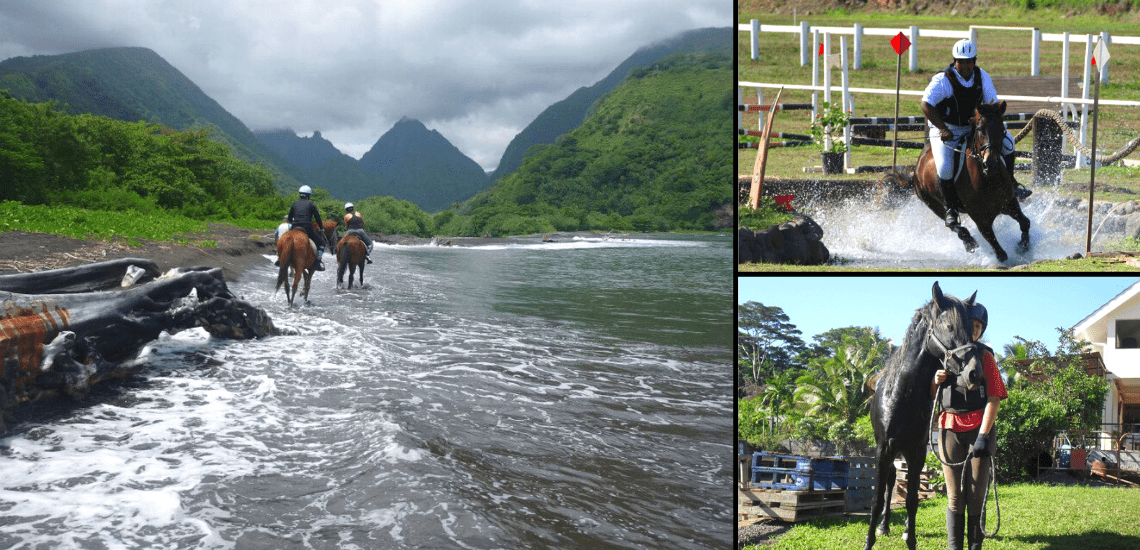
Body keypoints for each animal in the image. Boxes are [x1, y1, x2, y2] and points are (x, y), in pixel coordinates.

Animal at [857, 281, 984, 547]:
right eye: (949, 326)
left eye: (971, 329)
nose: (974, 373)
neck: (903, 396)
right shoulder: (883, 450)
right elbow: (876, 500)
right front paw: (869, 541)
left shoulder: (917, 452)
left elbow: (912, 500)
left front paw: (911, 539)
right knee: (890, 481)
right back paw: (884, 526)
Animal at [889, 101, 1035, 264]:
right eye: (980, 129)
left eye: (1002, 129)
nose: (990, 164)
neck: (988, 179)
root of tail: (917, 166)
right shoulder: (980, 218)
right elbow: (997, 249)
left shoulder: (1009, 203)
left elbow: (1025, 222)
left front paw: (1023, 246)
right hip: (934, 205)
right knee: (952, 224)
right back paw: (969, 242)